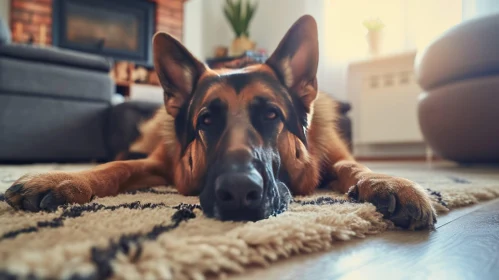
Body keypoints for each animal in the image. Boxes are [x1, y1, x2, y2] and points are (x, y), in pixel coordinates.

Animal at [3, 14, 436, 230]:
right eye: (207, 120)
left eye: (271, 115)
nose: (239, 193)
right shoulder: (161, 164)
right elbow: (116, 166)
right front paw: (63, 179)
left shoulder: (333, 156)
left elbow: (354, 165)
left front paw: (392, 182)